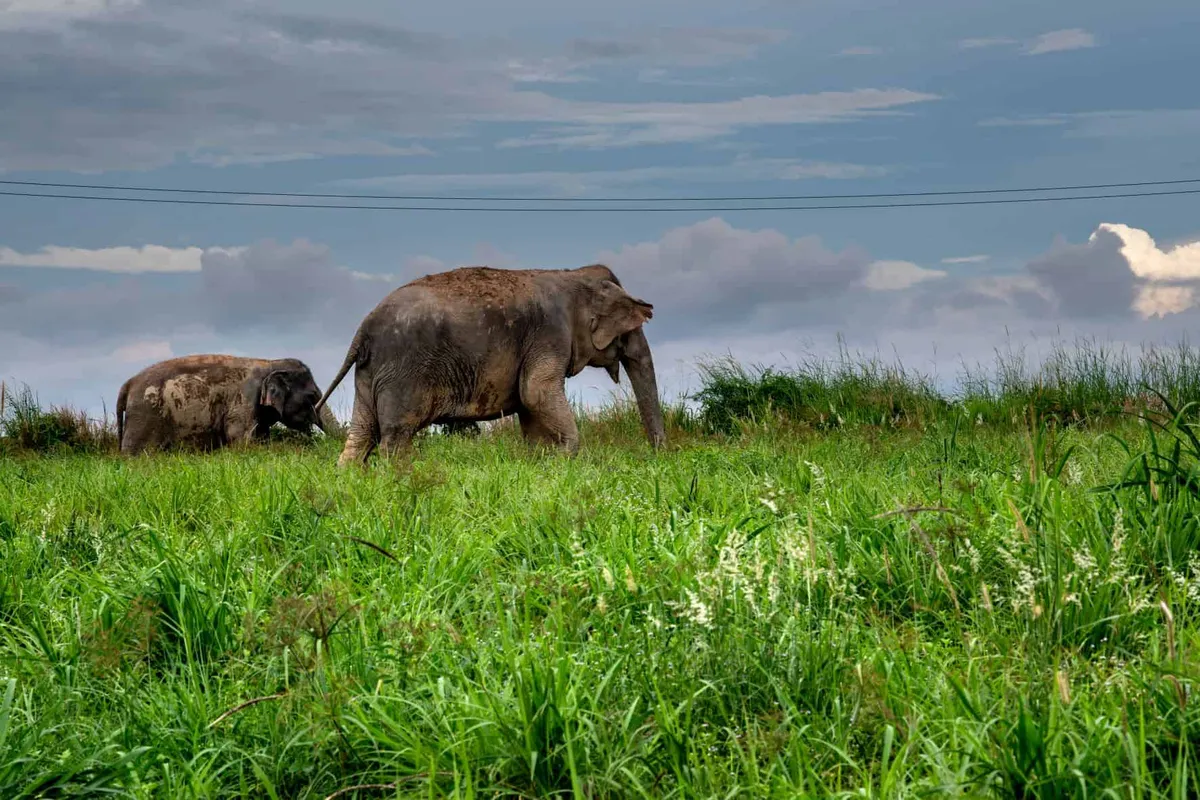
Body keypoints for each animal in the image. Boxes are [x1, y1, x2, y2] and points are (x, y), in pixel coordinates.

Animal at [116, 354, 335, 455]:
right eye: (312, 396)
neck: (269, 362)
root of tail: (128, 384)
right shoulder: (244, 400)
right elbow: (239, 438)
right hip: (145, 416)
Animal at [314, 263, 666, 466]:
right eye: (631, 329)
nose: (659, 456)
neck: (575, 276)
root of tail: (363, 328)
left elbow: (529, 404)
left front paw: (542, 461)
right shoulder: (549, 334)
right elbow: (535, 391)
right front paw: (565, 456)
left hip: (370, 373)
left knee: (361, 434)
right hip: (403, 373)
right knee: (395, 436)